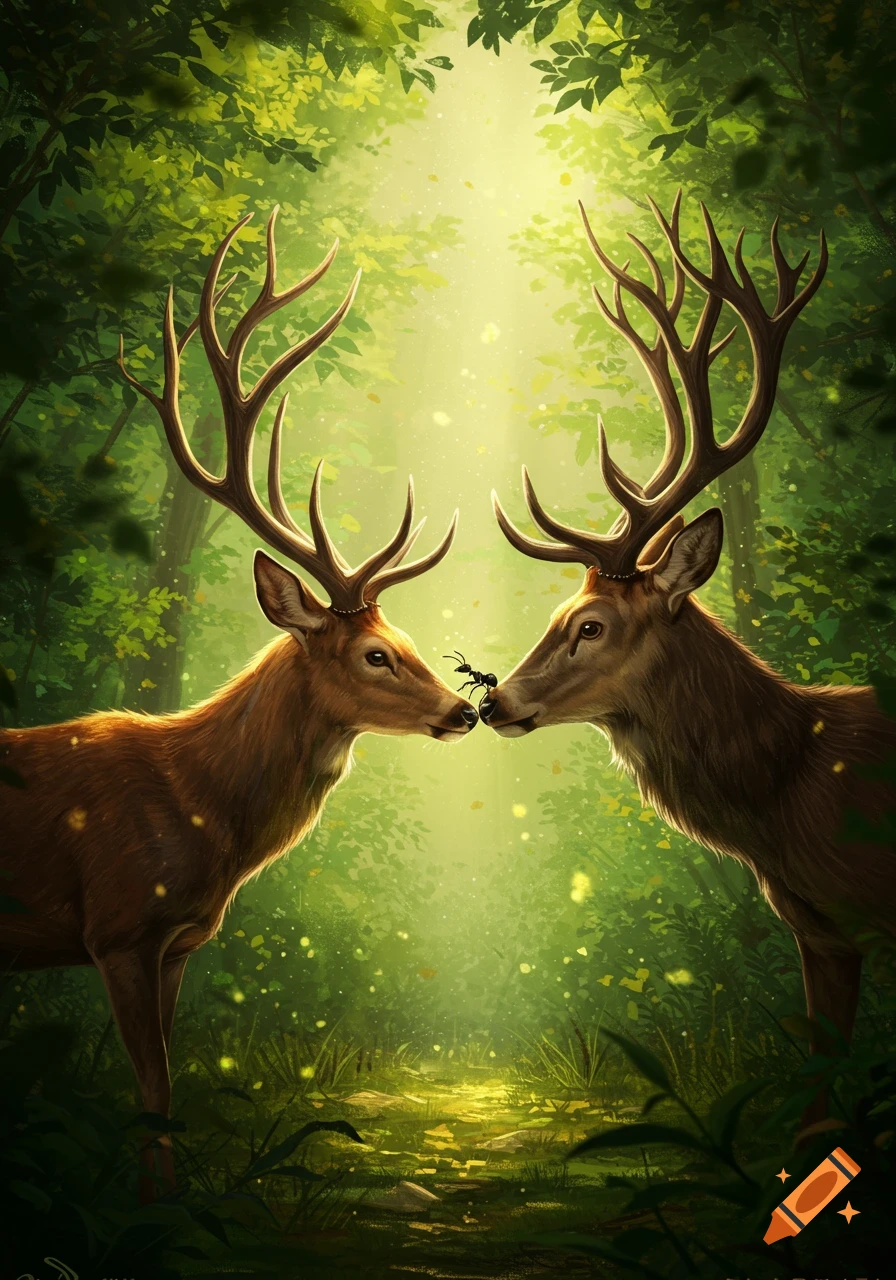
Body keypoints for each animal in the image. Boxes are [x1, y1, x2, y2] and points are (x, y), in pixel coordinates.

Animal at [0, 207, 479, 1195]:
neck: (198, 806)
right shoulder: (117, 927)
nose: (463, 710)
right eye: (376, 653)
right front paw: (161, 1209)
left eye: (411, 640)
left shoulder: (178, 944)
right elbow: (153, 1089)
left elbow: (162, 1087)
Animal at [482, 192, 896, 1136]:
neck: (802, 790)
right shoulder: (822, 930)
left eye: (590, 626)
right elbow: (820, 1095)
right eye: (555, 615)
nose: (495, 702)